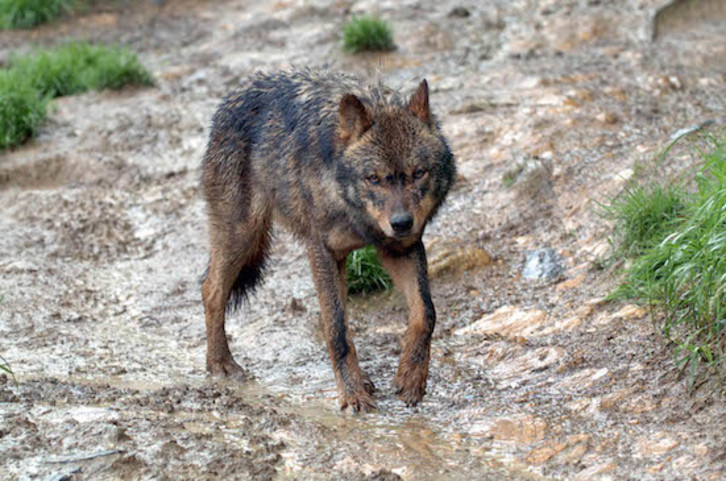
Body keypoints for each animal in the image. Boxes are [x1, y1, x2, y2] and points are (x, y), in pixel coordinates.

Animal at [200, 69, 456, 410]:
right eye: (373, 178)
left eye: (419, 173)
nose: (401, 223)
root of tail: (236, 92)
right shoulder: (321, 250)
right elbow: (336, 331)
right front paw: (352, 396)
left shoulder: (401, 249)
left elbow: (425, 313)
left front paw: (411, 378)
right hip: (242, 235)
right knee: (211, 290)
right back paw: (221, 364)